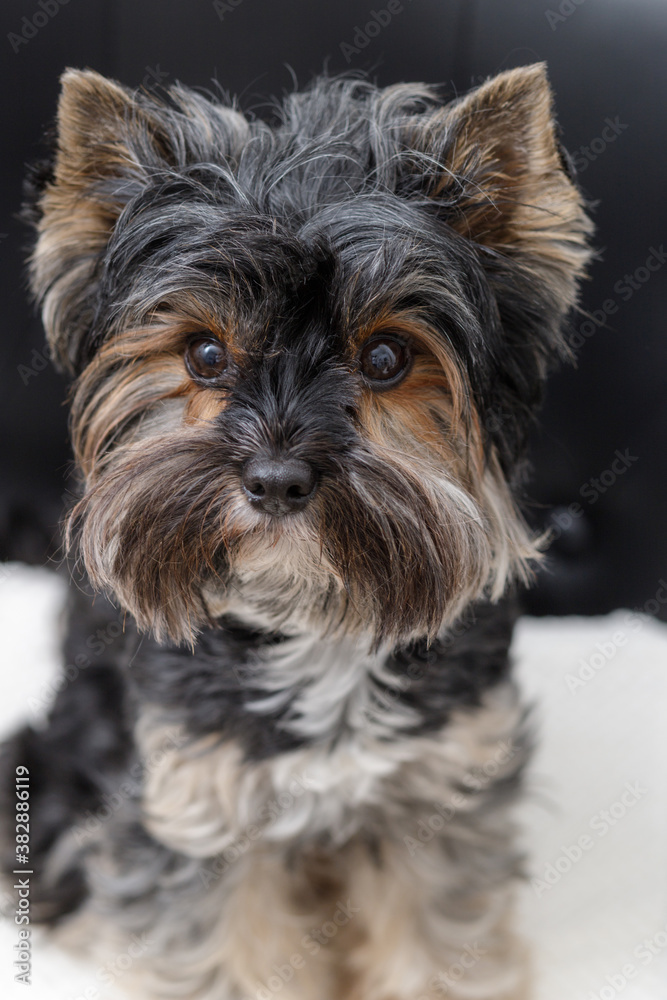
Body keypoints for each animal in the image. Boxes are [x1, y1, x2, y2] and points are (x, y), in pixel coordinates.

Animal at [1, 64, 596, 1000]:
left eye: (385, 358)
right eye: (205, 355)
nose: (276, 480)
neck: (310, 613)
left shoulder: (433, 784)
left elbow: (431, 932)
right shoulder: (197, 794)